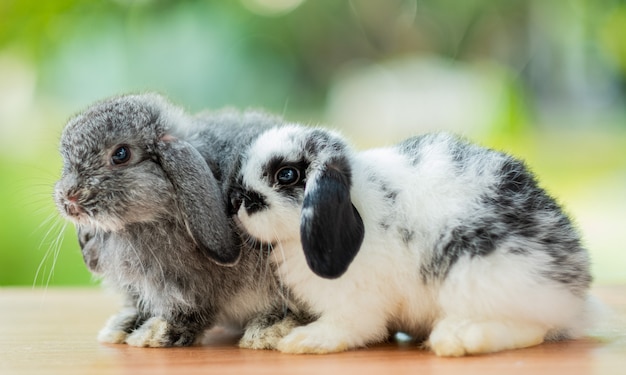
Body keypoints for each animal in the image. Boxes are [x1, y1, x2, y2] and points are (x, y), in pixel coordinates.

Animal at [54, 94, 308, 350]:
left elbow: (188, 313)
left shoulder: (190, 289)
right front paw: (123, 326)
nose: (68, 199)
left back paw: (268, 330)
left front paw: (156, 333)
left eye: (121, 154)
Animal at [233, 125, 588, 356]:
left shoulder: (357, 300)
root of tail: (574, 292)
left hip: (473, 274)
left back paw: (457, 339)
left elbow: (349, 325)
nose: (239, 200)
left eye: (286, 175)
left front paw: (303, 341)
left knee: (532, 329)